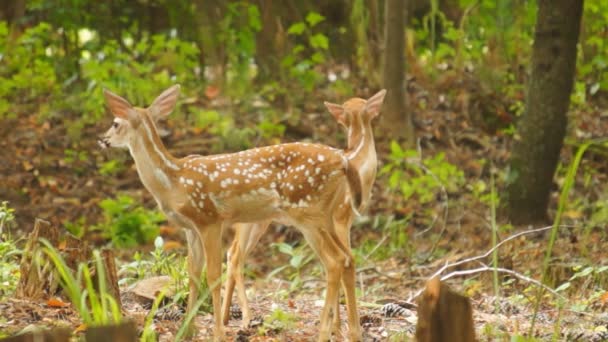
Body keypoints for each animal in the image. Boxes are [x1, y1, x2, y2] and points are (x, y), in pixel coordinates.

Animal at [98, 85, 366, 340]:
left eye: (115, 123)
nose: (102, 139)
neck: (174, 180)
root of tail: (343, 161)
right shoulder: (191, 228)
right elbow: (194, 273)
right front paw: (187, 330)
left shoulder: (210, 218)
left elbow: (213, 275)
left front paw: (217, 333)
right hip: (325, 215)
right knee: (348, 258)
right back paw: (352, 333)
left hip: (306, 212)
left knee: (334, 261)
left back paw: (324, 333)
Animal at [222, 89, 384, 334]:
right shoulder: (340, 217)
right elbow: (346, 263)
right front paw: (341, 328)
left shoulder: (338, 220)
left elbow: (348, 260)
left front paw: (338, 327)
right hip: (256, 220)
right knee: (236, 256)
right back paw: (246, 319)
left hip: (262, 221)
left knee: (232, 253)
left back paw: (224, 318)